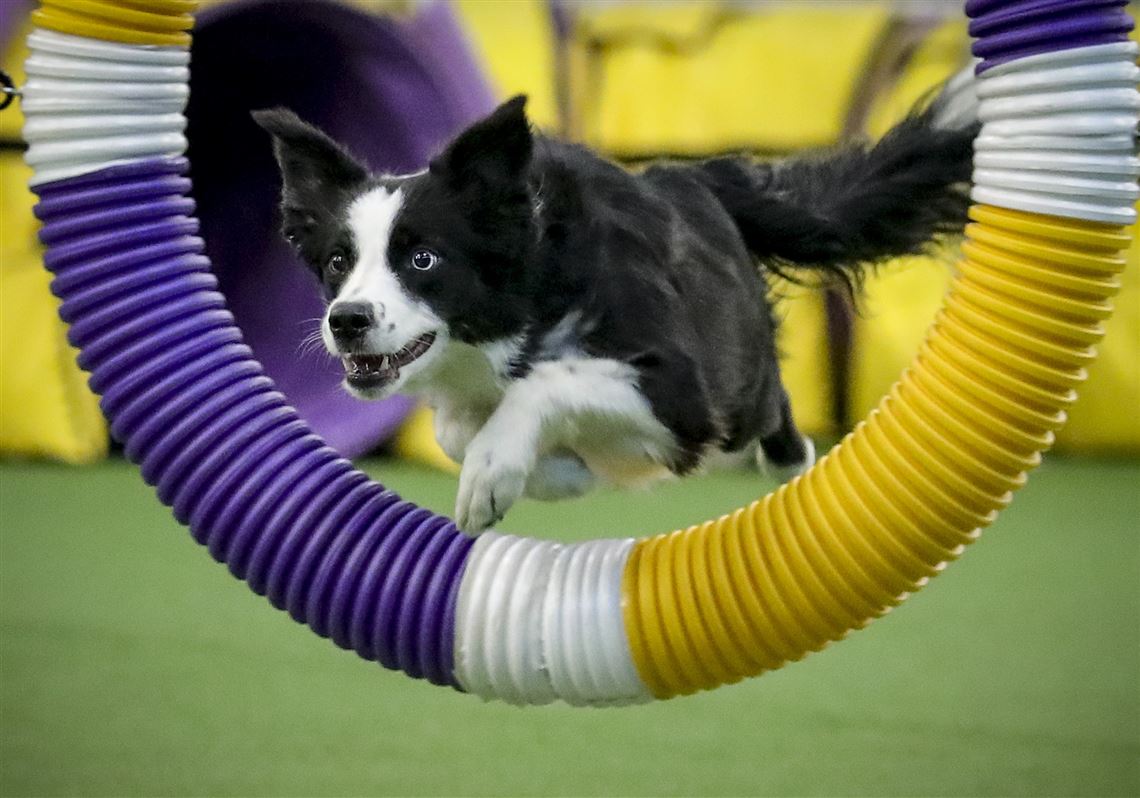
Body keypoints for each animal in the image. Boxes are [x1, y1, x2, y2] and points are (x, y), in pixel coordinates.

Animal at [254, 91, 975, 528]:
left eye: (424, 259)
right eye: (338, 262)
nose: (347, 321)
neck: (531, 289)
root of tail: (698, 177)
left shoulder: (681, 392)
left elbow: (547, 380)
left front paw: (494, 474)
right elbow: (456, 428)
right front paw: (556, 472)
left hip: (735, 388)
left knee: (771, 405)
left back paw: (793, 461)